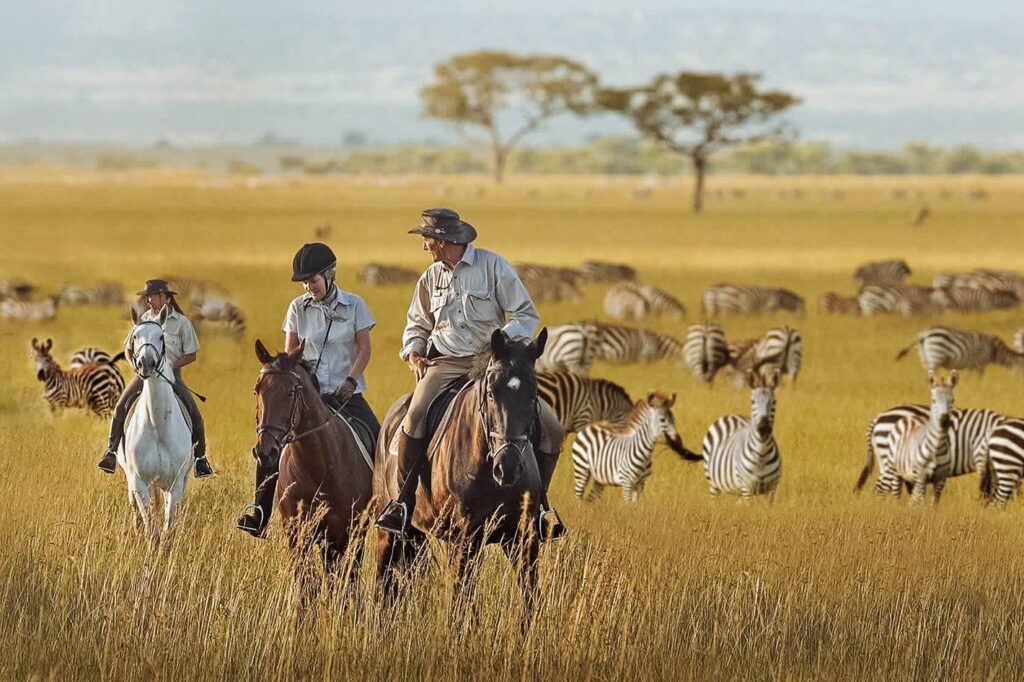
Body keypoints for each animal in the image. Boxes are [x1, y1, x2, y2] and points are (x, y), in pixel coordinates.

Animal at [119, 306, 193, 541]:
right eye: (135, 336)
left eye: (162, 337)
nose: (147, 363)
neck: (158, 426)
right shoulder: (139, 482)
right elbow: (151, 528)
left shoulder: (176, 484)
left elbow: (168, 529)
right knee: (136, 509)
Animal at [252, 340, 375, 597]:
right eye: (257, 390)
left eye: (290, 392)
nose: (265, 452)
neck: (320, 465)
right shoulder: (296, 532)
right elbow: (306, 586)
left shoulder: (348, 531)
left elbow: (346, 583)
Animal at [373, 329, 558, 619]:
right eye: (491, 393)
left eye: (533, 394)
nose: (508, 468)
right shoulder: (462, 539)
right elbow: (460, 605)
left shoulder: (523, 538)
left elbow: (531, 600)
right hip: (389, 534)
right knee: (382, 584)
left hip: (416, 535)